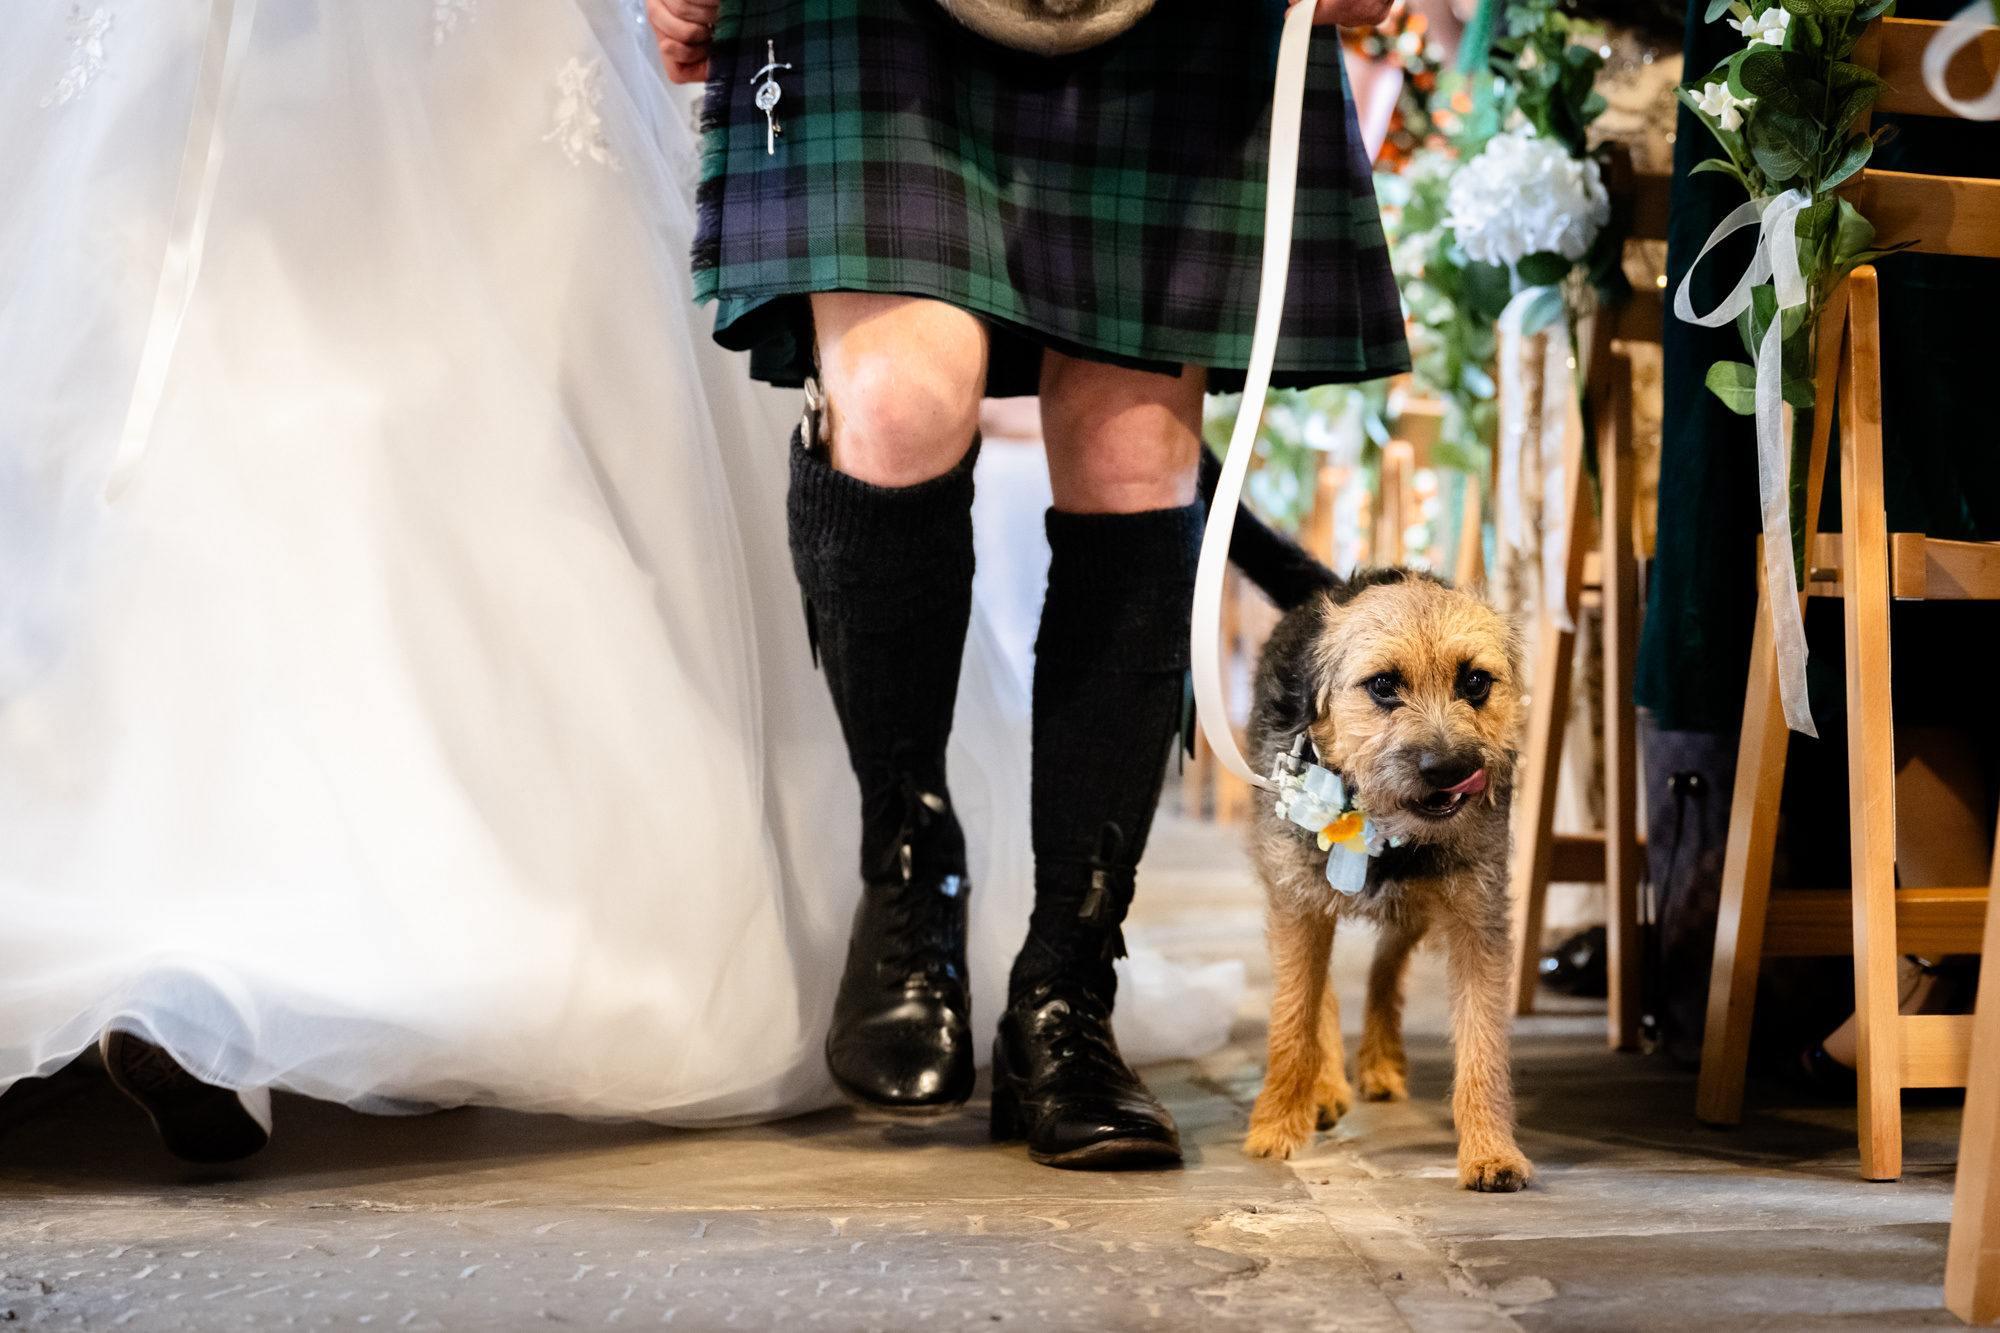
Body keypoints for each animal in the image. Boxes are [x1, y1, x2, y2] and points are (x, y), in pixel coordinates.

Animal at [1232, 564, 1528, 1184]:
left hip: (1416, 907)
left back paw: (1380, 1060)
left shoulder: (1477, 920)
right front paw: (1276, 1125)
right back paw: (1322, 1087)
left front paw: (1491, 1149)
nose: (1448, 769)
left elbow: (1483, 1044)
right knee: (1318, 987)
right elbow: (1293, 1015)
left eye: (1475, 683)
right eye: (1384, 685)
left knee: (1385, 967)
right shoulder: (1298, 904)